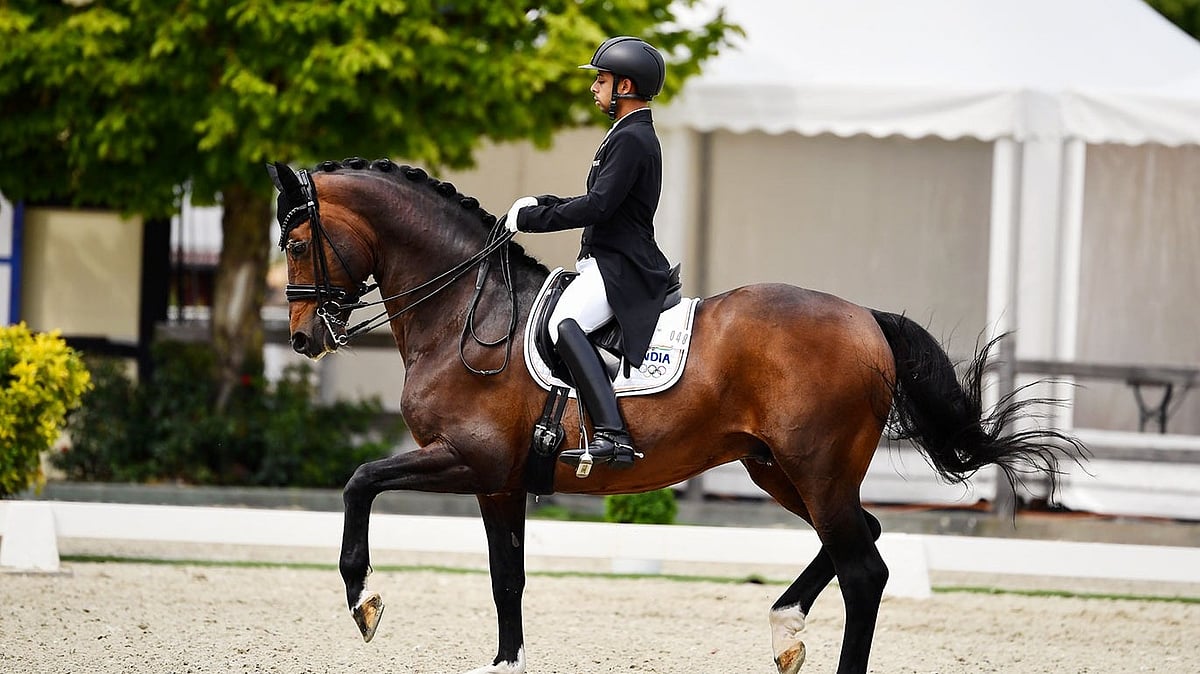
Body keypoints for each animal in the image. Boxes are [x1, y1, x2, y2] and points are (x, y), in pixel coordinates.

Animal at [267, 157, 1083, 674]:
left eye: (298, 242)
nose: (303, 339)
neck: (467, 314)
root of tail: (866, 320)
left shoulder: (470, 457)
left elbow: (360, 481)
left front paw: (362, 598)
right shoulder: (498, 481)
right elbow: (507, 579)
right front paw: (504, 662)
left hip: (815, 469)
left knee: (865, 569)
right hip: (777, 468)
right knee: (865, 539)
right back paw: (785, 628)